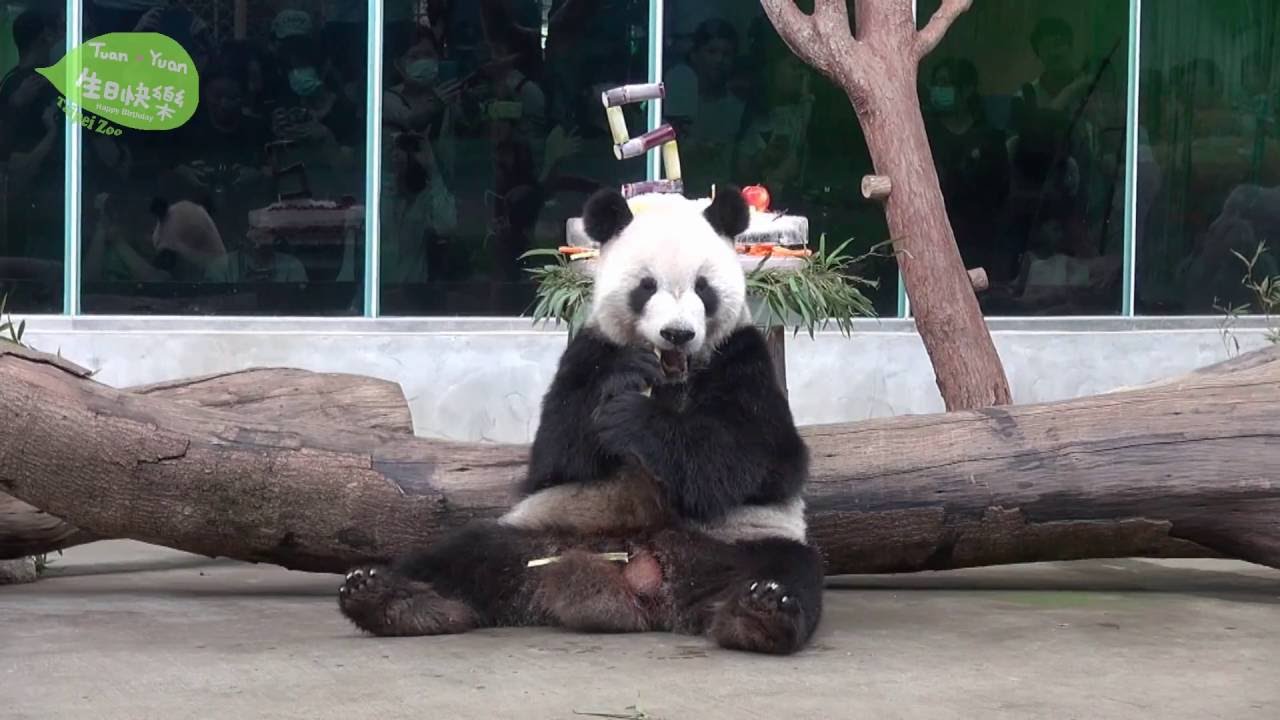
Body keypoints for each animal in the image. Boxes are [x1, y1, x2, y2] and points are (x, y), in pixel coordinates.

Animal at [338, 186, 824, 655]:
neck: (671, 378)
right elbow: (553, 454)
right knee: (460, 556)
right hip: (537, 534)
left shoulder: (742, 357)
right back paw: (390, 599)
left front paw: (634, 419)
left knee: (786, 569)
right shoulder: (588, 350)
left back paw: (760, 613)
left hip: (736, 541)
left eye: (703, 288)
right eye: (646, 286)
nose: (677, 333)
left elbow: (756, 456)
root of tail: (635, 578)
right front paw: (621, 381)